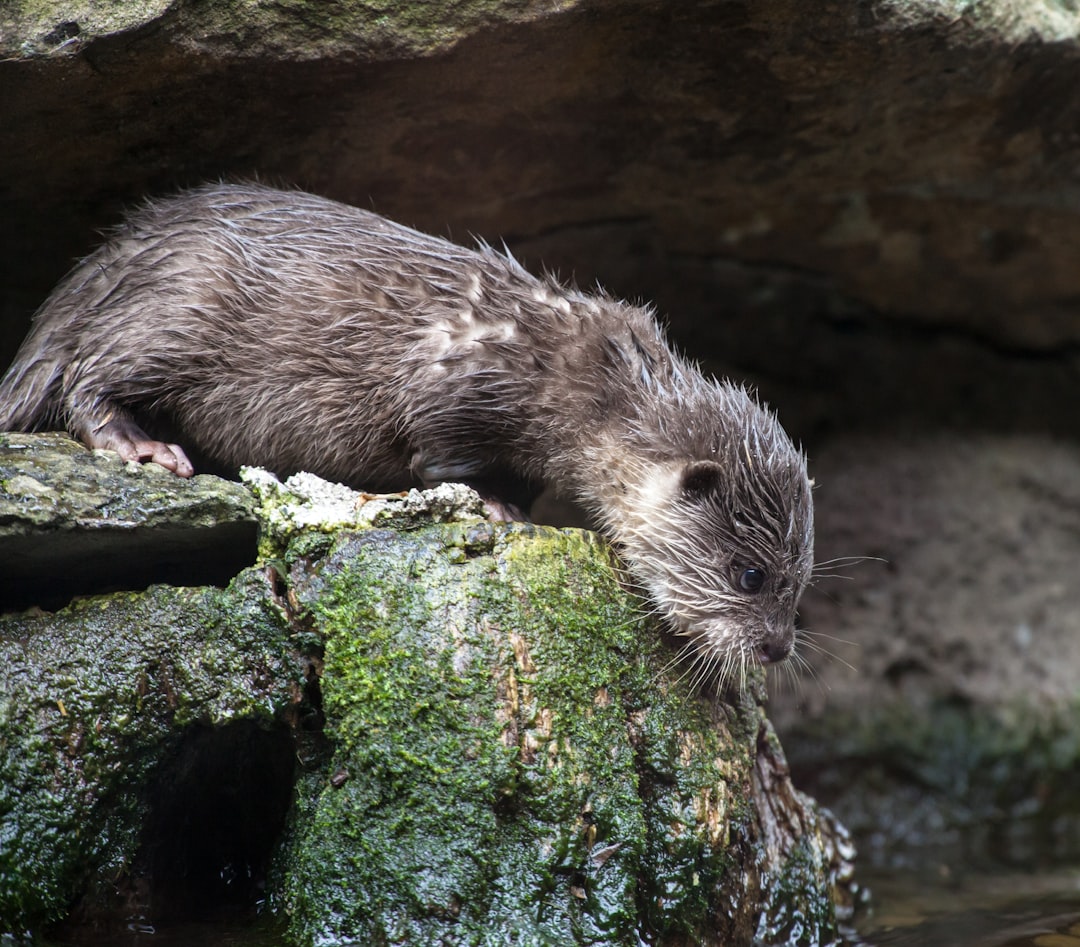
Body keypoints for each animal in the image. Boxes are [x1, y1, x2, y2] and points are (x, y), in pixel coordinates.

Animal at [0, 181, 812, 678]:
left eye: (800, 584)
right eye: (751, 575)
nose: (776, 647)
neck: (585, 384)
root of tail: (105, 260)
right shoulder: (459, 381)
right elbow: (438, 456)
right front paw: (499, 508)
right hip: (176, 308)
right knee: (87, 374)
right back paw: (143, 446)